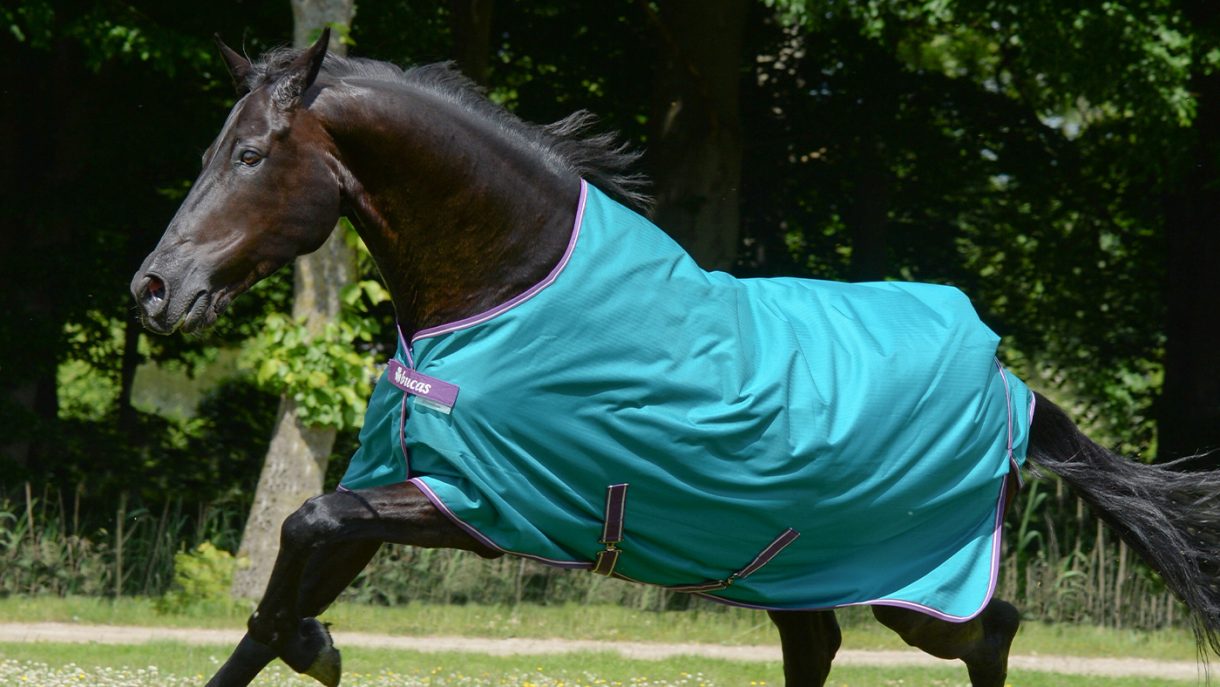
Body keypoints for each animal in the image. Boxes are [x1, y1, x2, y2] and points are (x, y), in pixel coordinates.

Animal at [131, 30, 1220, 687]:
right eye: (210, 150)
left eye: (250, 157)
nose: (153, 289)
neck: (504, 287)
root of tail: (1011, 385)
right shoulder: (399, 484)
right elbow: (277, 596)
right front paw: (310, 642)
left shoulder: (481, 505)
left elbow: (301, 530)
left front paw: (317, 648)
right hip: (801, 568)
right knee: (824, 644)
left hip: (915, 579)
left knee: (990, 630)